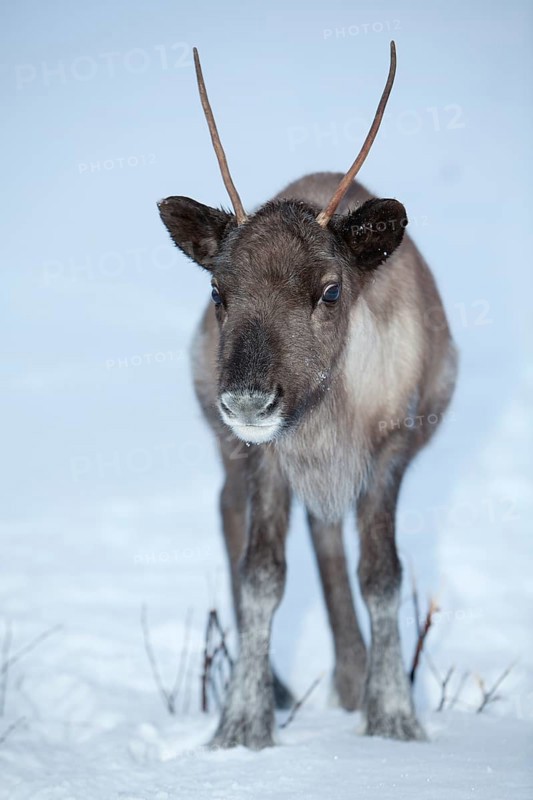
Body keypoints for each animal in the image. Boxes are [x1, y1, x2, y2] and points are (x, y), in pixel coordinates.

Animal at [158, 42, 457, 750]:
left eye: (329, 289)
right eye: (218, 290)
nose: (247, 402)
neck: (327, 418)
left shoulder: (389, 452)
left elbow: (382, 575)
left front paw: (395, 717)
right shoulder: (265, 455)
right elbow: (262, 575)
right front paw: (241, 725)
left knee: (327, 537)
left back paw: (350, 680)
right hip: (234, 452)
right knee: (232, 512)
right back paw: (288, 686)